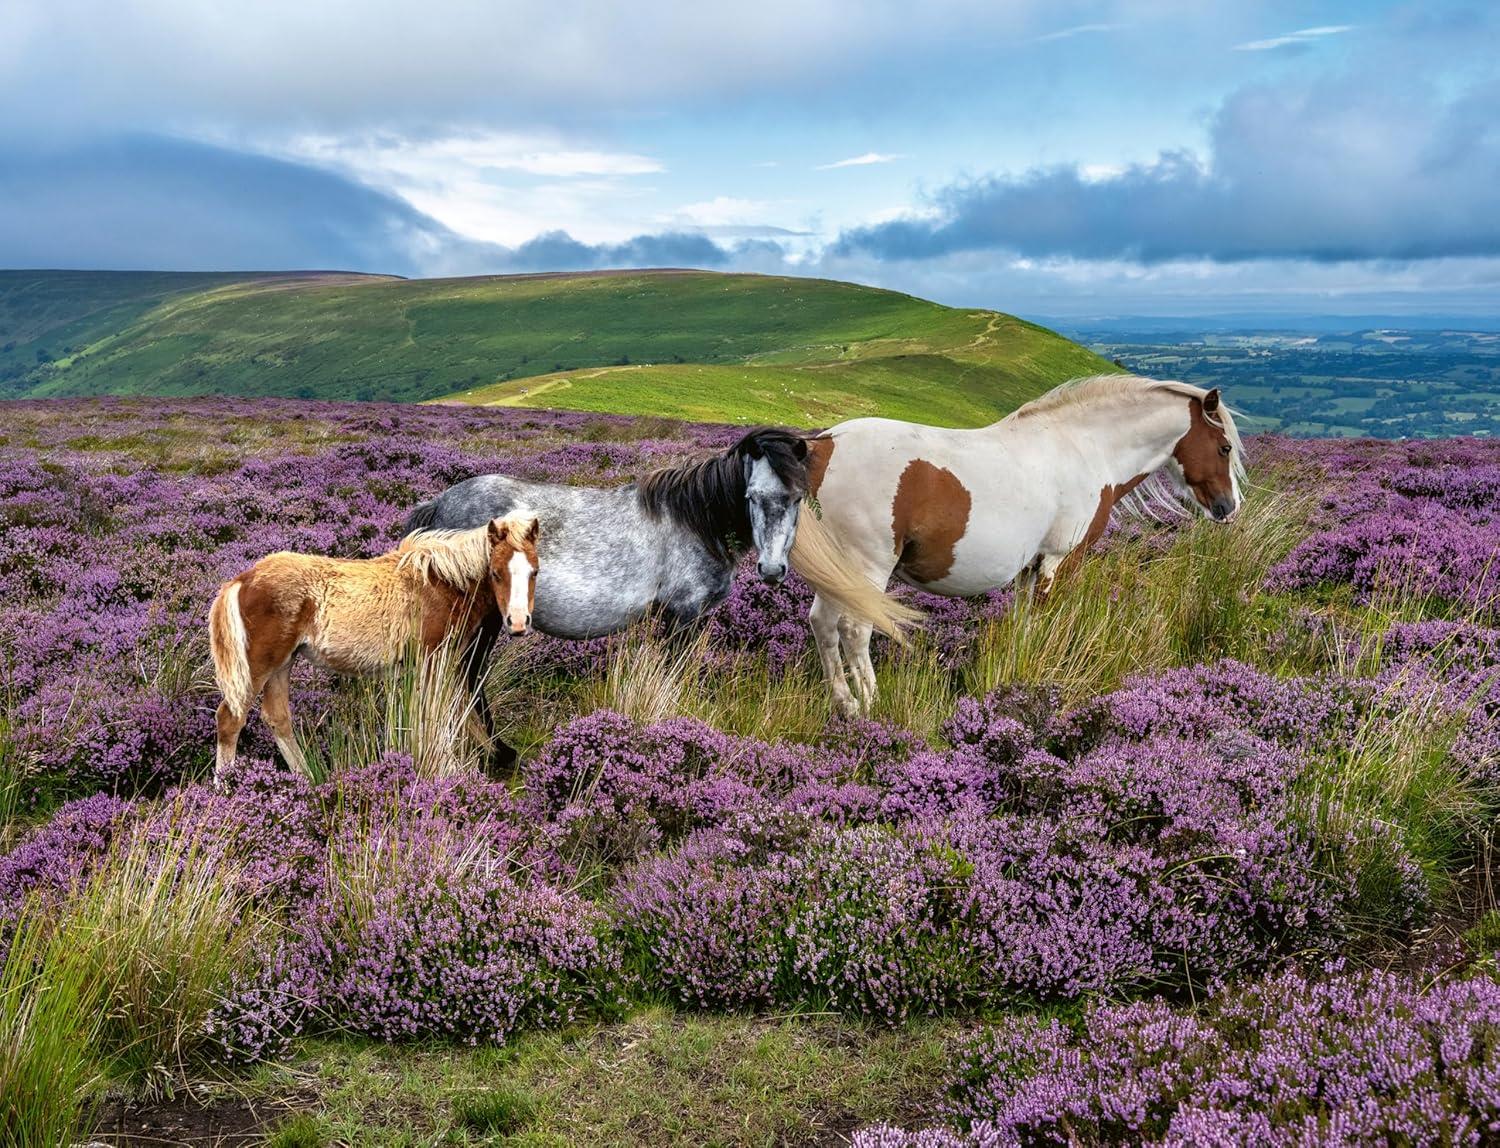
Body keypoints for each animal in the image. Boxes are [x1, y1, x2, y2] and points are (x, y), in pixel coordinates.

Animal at [208, 511, 540, 783]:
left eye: (534, 571)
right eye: (496, 573)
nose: (518, 623)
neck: (441, 583)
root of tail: (241, 580)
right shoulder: (432, 658)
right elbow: (436, 715)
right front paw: (446, 771)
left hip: (283, 663)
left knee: (278, 718)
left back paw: (307, 781)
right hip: (259, 665)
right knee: (230, 719)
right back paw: (226, 788)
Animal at [402, 427, 919, 663]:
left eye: (797, 498)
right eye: (751, 496)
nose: (772, 572)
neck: (697, 521)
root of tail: (439, 503)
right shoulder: (681, 615)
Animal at [798, 375, 1247, 716]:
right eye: (1224, 447)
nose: (1229, 508)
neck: (1085, 448)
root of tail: (825, 444)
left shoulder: (1031, 566)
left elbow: (1025, 625)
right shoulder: (1059, 560)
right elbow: (1045, 621)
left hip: (837, 572)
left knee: (823, 624)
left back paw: (845, 705)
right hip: (868, 566)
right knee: (854, 629)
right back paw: (872, 705)